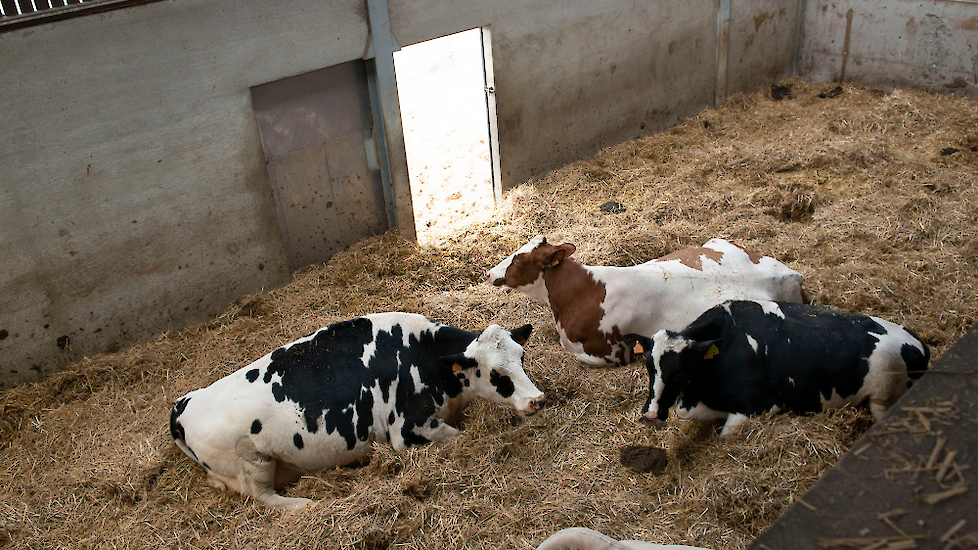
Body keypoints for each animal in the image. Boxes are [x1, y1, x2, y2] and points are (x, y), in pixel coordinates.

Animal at [171, 312, 544, 512]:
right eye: (496, 374)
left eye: (522, 357)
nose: (537, 400)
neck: (425, 357)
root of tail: (182, 406)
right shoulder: (406, 429)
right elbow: (456, 436)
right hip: (254, 460)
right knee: (263, 496)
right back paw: (303, 505)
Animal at [624, 300, 932, 438]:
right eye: (650, 368)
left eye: (680, 372)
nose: (650, 415)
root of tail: (917, 343)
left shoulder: (761, 404)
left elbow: (725, 433)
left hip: (883, 397)